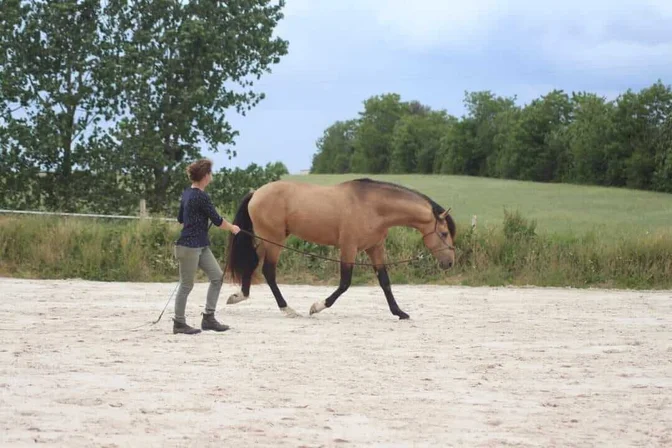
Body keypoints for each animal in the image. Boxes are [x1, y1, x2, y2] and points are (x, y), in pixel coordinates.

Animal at [224, 177, 456, 320]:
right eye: (444, 233)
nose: (450, 262)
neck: (373, 206)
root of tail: (256, 193)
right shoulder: (348, 248)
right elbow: (345, 283)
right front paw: (317, 307)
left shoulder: (375, 248)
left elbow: (385, 282)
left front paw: (399, 312)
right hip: (274, 240)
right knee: (268, 271)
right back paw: (287, 309)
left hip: (267, 240)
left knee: (253, 263)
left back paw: (239, 296)